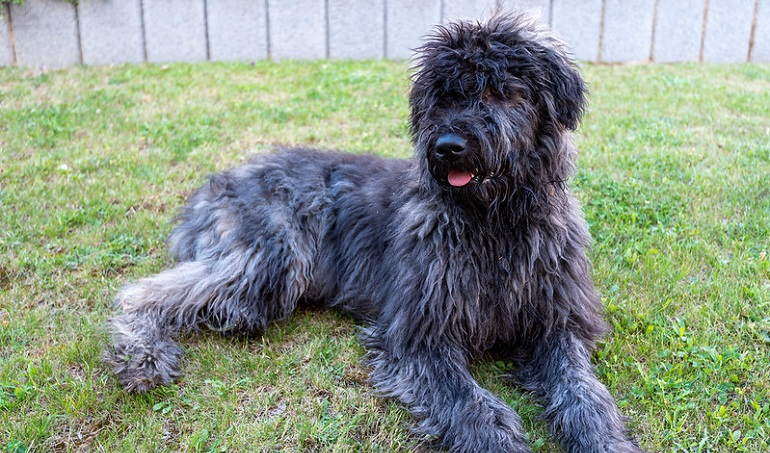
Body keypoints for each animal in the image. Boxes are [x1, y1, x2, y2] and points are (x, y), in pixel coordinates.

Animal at [103, 10, 640, 452]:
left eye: (500, 90)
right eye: (442, 96)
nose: (447, 146)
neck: (493, 225)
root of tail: (220, 182)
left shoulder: (556, 320)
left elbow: (584, 389)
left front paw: (605, 439)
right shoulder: (419, 334)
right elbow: (469, 403)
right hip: (271, 260)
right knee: (143, 291)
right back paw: (141, 355)